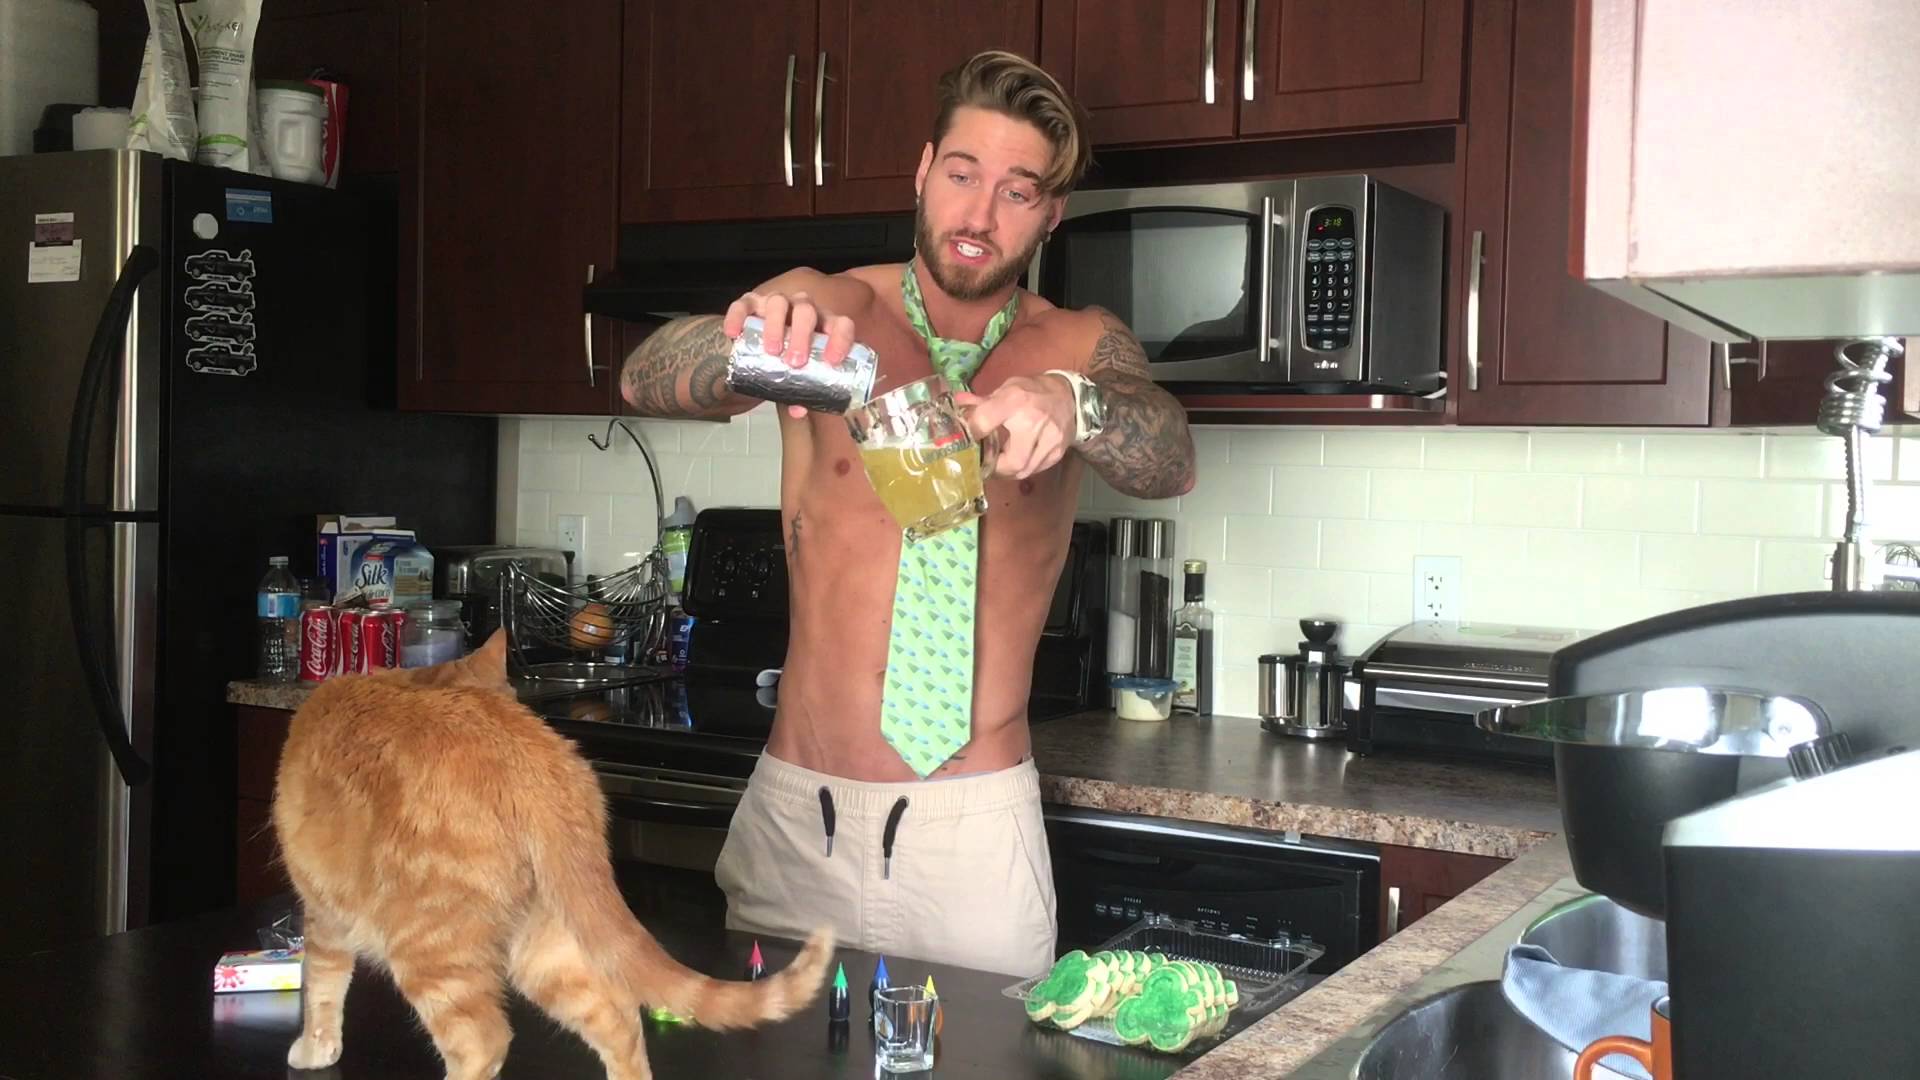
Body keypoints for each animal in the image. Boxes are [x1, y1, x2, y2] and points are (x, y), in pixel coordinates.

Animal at [272, 630, 833, 1080]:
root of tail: (530, 758)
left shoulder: (321, 910)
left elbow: (320, 983)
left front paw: (314, 1049)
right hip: (551, 941)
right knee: (617, 1015)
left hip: (430, 946)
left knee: (483, 1042)